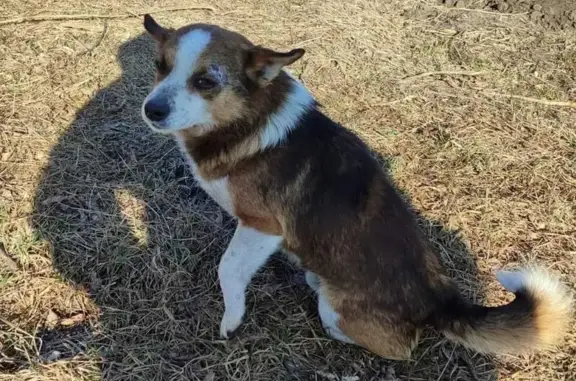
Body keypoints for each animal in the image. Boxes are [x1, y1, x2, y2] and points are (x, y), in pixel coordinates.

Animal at [140, 15, 572, 360]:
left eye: (205, 81)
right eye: (160, 66)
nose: (151, 110)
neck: (247, 120)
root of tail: (438, 302)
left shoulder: (262, 225)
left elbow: (229, 268)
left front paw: (231, 320)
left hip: (337, 311)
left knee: (397, 348)